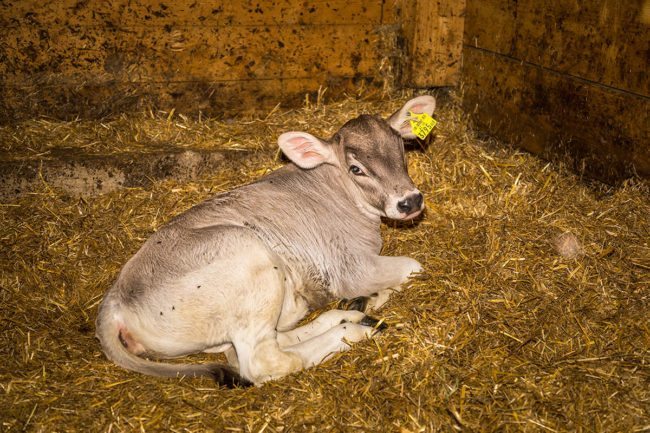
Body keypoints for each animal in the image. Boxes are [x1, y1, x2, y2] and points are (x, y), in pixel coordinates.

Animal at [95, 94, 436, 384]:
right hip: (249, 258)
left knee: (255, 344)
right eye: (356, 169)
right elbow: (414, 267)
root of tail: (115, 299)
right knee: (262, 360)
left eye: (400, 148)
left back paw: (353, 311)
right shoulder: (350, 269)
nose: (410, 201)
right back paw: (353, 330)